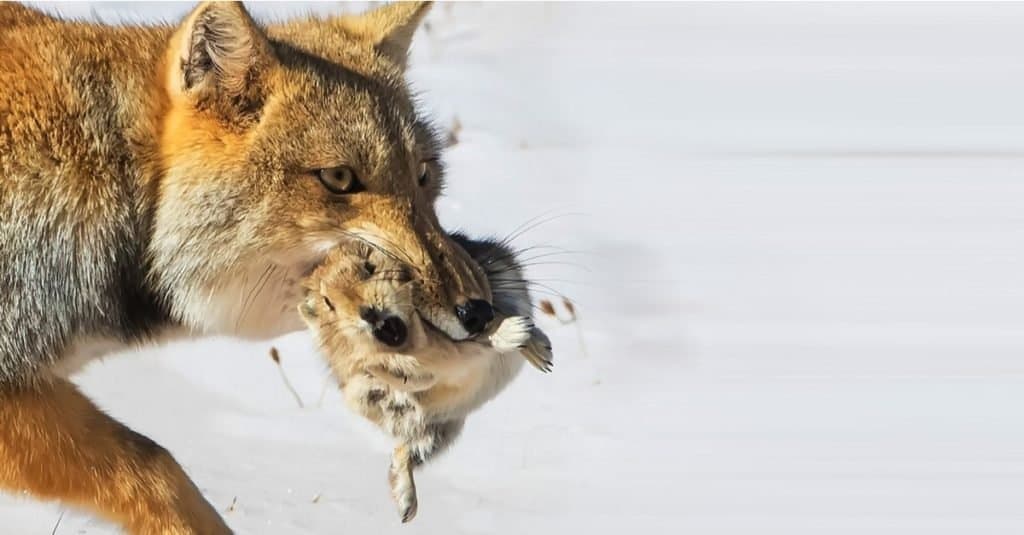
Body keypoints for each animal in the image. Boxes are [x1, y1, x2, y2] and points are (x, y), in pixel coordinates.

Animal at [296, 237, 552, 520]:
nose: (368, 313)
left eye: (369, 268)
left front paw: (532, 344)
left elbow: (477, 338)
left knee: (403, 452)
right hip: (435, 431)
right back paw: (405, 506)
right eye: (328, 302)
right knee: (402, 452)